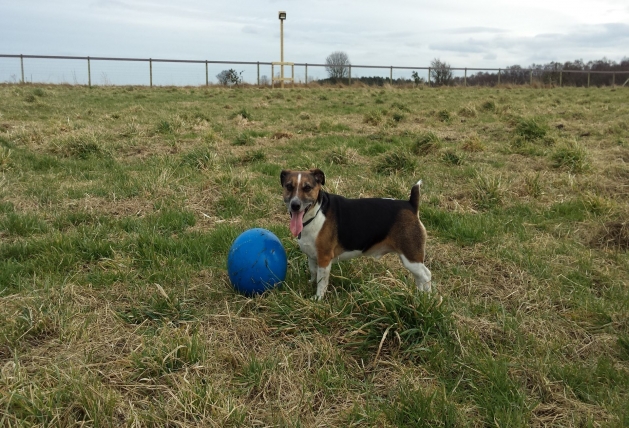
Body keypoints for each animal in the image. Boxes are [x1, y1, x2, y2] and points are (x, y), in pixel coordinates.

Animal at [280, 169, 432, 300]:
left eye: (307, 188)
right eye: (289, 187)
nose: (295, 205)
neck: (316, 213)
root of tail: (411, 205)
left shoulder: (324, 258)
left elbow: (321, 281)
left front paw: (318, 298)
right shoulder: (312, 256)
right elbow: (313, 272)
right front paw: (310, 284)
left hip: (411, 258)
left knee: (425, 276)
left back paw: (426, 299)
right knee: (420, 278)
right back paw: (419, 296)